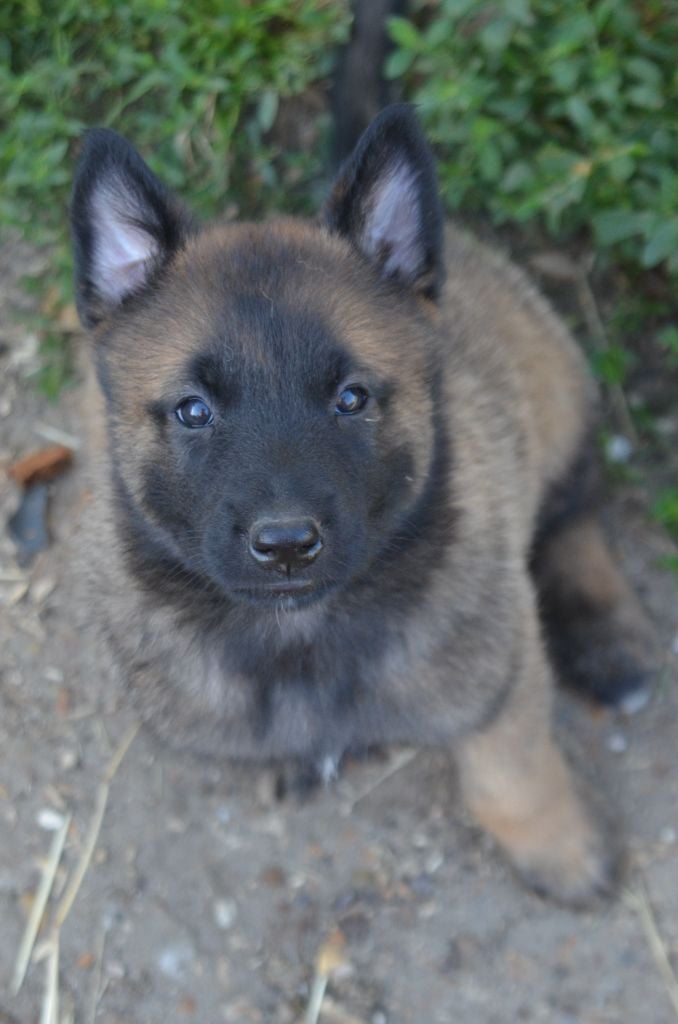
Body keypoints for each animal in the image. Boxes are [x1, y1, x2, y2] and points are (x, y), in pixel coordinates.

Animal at [73, 101, 659, 905]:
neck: (302, 635)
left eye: (351, 398)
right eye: (193, 411)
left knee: (574, 511)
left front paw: (561, 847)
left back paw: (607, 638)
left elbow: (511, 774)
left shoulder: (501, 674)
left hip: (557, 394)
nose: (287, 545)